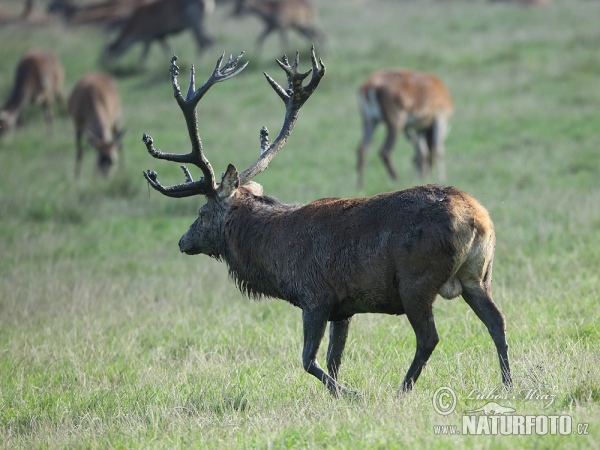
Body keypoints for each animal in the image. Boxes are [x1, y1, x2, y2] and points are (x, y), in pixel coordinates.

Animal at [141, 47, 510, 396]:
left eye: (201, 213)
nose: (182, 241)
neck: (274, 258)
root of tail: (478, 219)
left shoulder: (315, 295)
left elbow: (309, 360)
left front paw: (351, 394)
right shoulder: (342, 307)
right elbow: (334, 359)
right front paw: (335, 395)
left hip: (416, 280)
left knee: (429, 337)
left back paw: (402, 389)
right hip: (479, 275)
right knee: (497, 321)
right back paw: (508, 383)